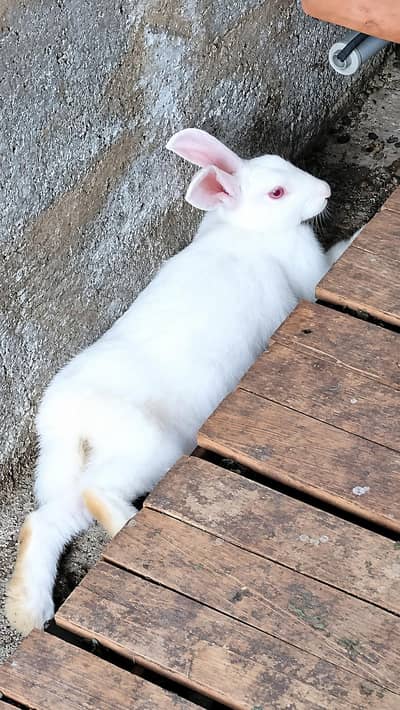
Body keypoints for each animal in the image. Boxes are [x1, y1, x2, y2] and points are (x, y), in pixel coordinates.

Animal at [5, 127, 353, 636]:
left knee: (44, 521)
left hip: (79, 470)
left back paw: (27, 610)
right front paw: (351, 241)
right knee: (96, 494)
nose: (326, 191)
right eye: (277, 192)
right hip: (149, 447)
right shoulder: (308, 277)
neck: (244, 229)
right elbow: (326, 270)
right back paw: (130, 528)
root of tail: (66, 420)